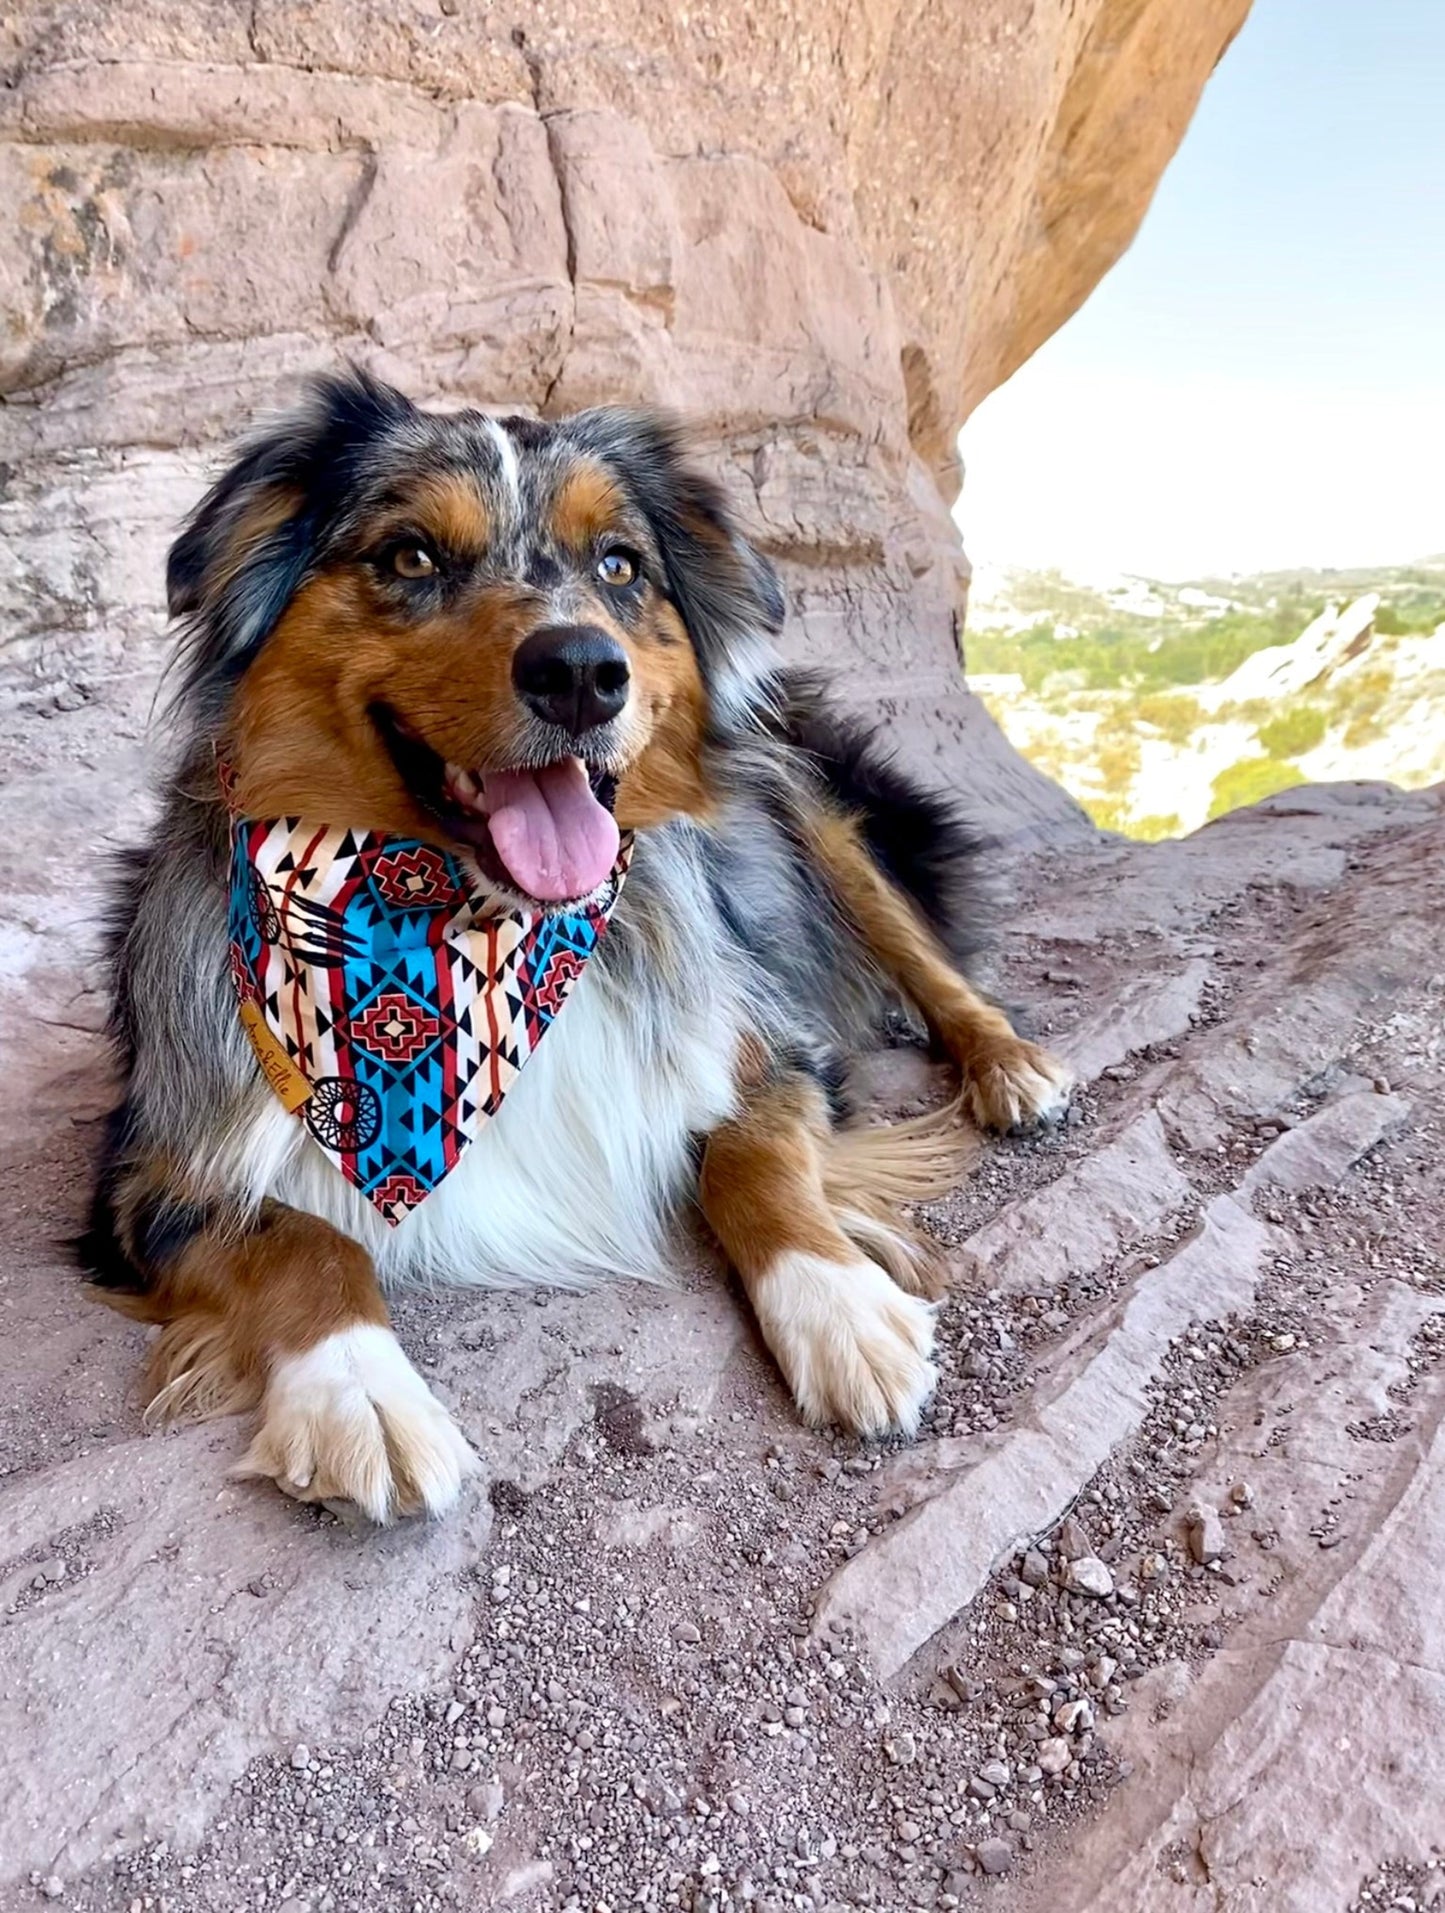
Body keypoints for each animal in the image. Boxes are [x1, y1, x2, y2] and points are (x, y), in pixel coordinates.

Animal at [78, 373, 1071, 1522]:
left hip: (817, 808)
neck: (461, 932)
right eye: (410, 556)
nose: (582, 672)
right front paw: (360, 1391)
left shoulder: (772, 1046)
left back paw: (1008, 1064)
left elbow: (750, 1152)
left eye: (619, 565)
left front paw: (836, 1304)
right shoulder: (146, 1171)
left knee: (925, 955)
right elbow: (304, 1239)